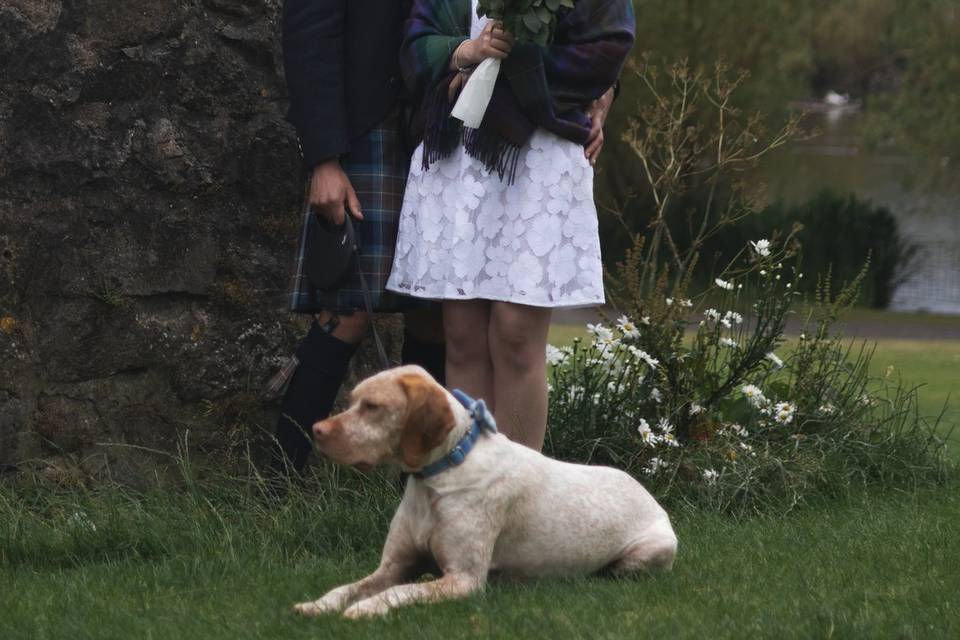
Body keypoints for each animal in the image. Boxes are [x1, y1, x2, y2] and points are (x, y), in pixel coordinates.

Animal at [292, 368, 676, 616]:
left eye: (372, 407)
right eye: (352, 401)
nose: (316, 429)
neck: (440, 475)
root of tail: (649, 495)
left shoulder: (464, 579)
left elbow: (399, 591)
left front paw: (367, 607)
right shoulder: (393, 566)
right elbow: (345, 588)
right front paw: (317, 605)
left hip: (650, 551)